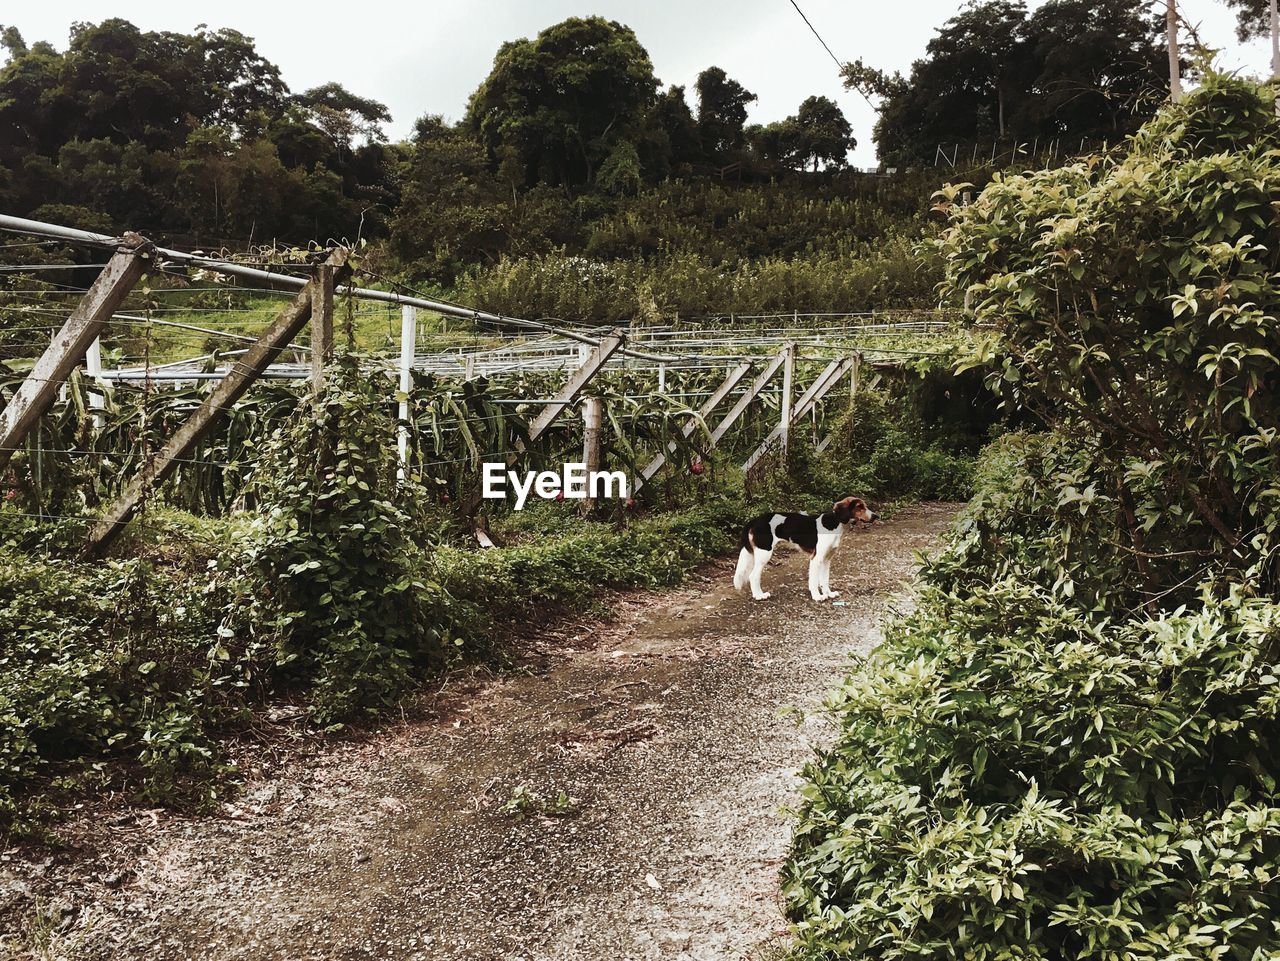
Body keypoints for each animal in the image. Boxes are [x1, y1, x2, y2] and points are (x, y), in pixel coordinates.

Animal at [737, 496, 875, 601]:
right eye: (859, 506)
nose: (876, 516)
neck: (835, 523)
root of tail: (754, 520)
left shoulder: (827, 559)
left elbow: (824, 580)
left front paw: (829, 594)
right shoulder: (816, 559)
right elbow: (814, 581)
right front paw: (817, 596)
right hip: (764, 554)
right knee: (753, 576)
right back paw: (759, 596)